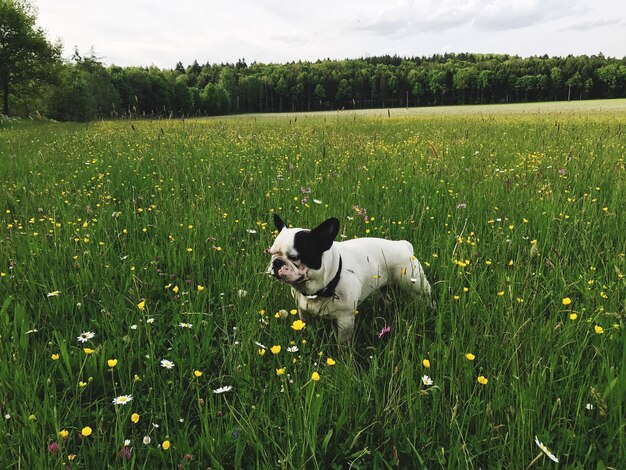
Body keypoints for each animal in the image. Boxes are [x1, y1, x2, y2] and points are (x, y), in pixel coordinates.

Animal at [268, 215, 434, 344]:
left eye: (294, 257)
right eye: (271, 253)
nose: (276, 262)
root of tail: (403, 245)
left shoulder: (345, 320)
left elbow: (342, 343)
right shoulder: (303, 312)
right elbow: (306, 326)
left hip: (415, 284)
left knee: (426, 298)